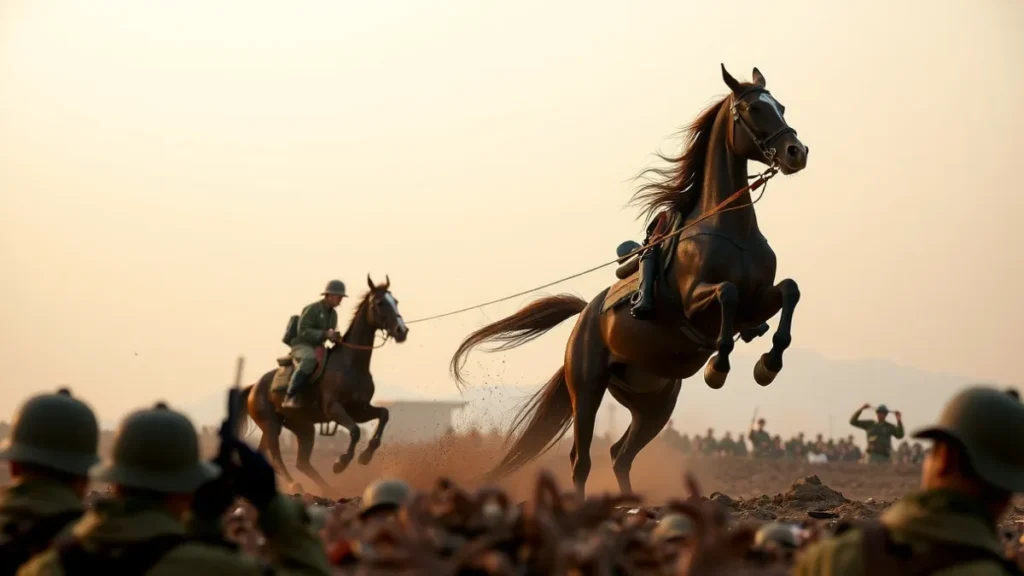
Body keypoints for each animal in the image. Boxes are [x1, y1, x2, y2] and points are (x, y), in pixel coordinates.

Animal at [238, 275, 409, 494]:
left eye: (395, 301)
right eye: (379, 303)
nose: (402, 330)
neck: (350, 364)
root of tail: (254, 387)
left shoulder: (359, 410)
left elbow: (383, 415)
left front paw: (366, 455)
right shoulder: (334, 409)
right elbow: (355, 431)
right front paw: (340, 463)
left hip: (302, 427)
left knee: (299, 461)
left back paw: (328, 490)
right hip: (271, 425)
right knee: (276, 455)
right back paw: (296, 485)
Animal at [449, 65, 808, 496]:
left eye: (781, 106)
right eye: (755, 108)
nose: (796, 152)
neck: (729, 229)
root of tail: (584, 317)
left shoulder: (757, 304)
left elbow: (789, 291)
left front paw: (769, 363)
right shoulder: (696, 304)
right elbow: (727, 293)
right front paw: (718, 367)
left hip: (654, 403)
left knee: (620, 454)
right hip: (587, 388)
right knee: (582, 460)